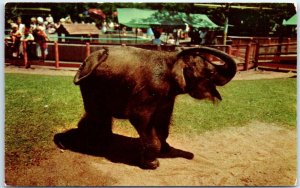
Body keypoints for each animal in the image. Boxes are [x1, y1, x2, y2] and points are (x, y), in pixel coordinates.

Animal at [72, 45, 237, 169]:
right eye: (211, 72)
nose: (183, 47)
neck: (172, 59)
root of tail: (86, 62)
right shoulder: (151, 87)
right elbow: (139, 116)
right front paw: (152, 164)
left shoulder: (167, 95)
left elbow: (163, 119)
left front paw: (167, 149)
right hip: (92, 85)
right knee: (97, 113)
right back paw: (95, 145)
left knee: (98, 113)